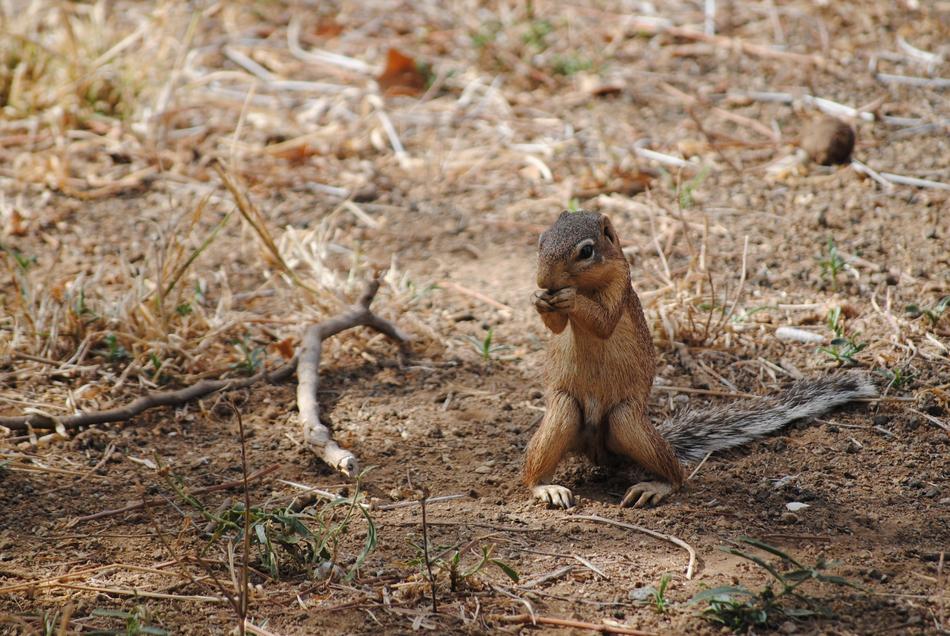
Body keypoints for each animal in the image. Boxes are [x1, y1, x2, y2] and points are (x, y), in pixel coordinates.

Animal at [525, 210, 876, 509]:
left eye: (586, 251)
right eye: (541, 240)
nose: (543, 281)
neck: (587, 284)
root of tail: (599, 452)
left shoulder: (619, 288)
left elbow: (603, 320)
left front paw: (570, 298)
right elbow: (556, 327)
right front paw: (539, 299)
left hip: (626, 421)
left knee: (677, 476)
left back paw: (654, 487)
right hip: (563, 412)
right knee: (533, 471)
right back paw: (548, 488)